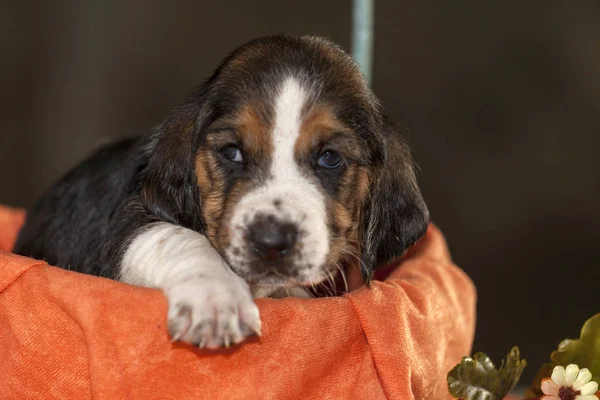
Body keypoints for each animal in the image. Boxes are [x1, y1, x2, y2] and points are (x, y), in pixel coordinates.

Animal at [12, 33, 426, 346]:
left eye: (330, 158)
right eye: (232, 151)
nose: (271, 241)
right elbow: (180, 237)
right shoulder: (125, 226)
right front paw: (215, 299)